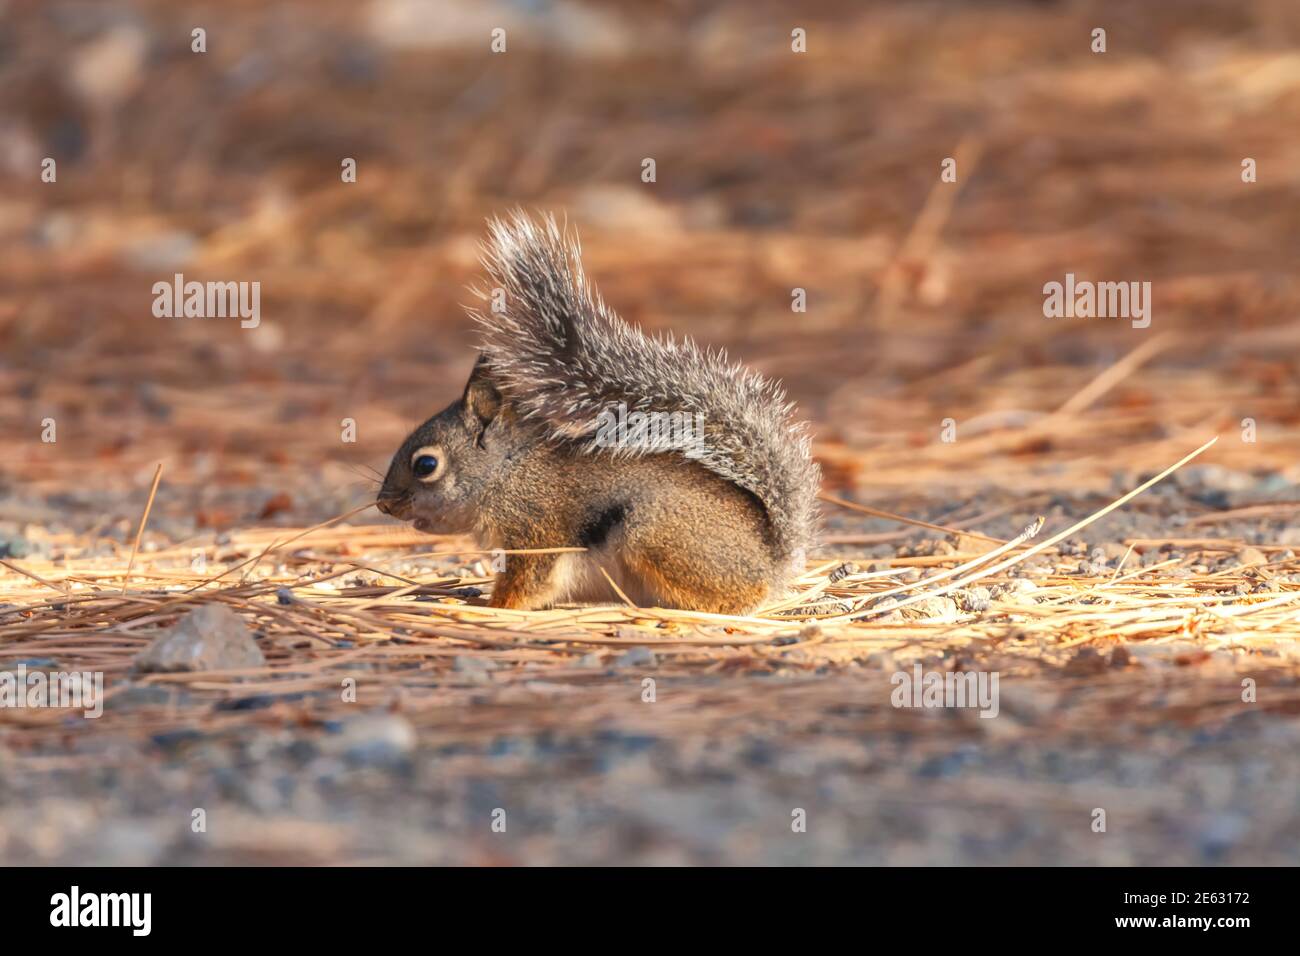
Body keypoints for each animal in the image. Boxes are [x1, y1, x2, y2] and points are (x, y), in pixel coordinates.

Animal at [376, 212, 820, 614]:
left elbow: (529, 581)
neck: (507, 473)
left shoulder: (537, 529)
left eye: (426, 464)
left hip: (655, 533)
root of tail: (772, 561)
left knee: (738, 596)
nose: (383, 505)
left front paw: (494, 606)